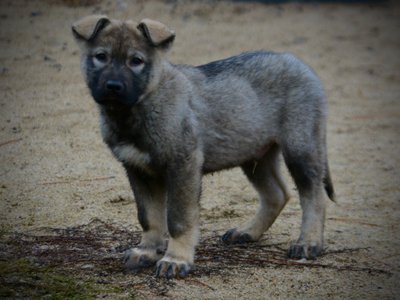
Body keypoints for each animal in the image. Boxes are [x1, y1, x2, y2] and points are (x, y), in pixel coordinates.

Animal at [71, 15, 334, 278]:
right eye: (101, 56)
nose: (113, 86)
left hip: (300, 149)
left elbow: (178, 219)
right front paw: (147, 251)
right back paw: (247, 231)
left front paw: (176, 259)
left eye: (136, 61)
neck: (142, 106)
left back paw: (308, 242)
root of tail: (299, 63)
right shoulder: (138, 170)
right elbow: (148, 217)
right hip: (255, 156)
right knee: (277, 194)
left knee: (313, 195)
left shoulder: (182, 166)